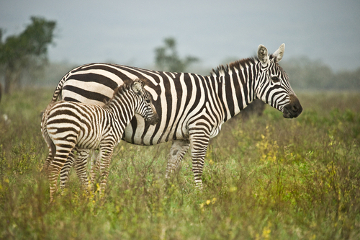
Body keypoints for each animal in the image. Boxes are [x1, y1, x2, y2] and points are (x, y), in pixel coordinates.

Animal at [48, 44, 300, 188]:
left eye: (287, 79)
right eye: (276, 80)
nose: (298, 109)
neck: (217, 97)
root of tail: (71, 72)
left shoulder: (183, 137)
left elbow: (172, 167)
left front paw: (165, 201)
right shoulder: (200, 130)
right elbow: (197, 166)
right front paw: (200, 200)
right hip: (82, 122)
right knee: (72, 161)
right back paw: (70, 196)